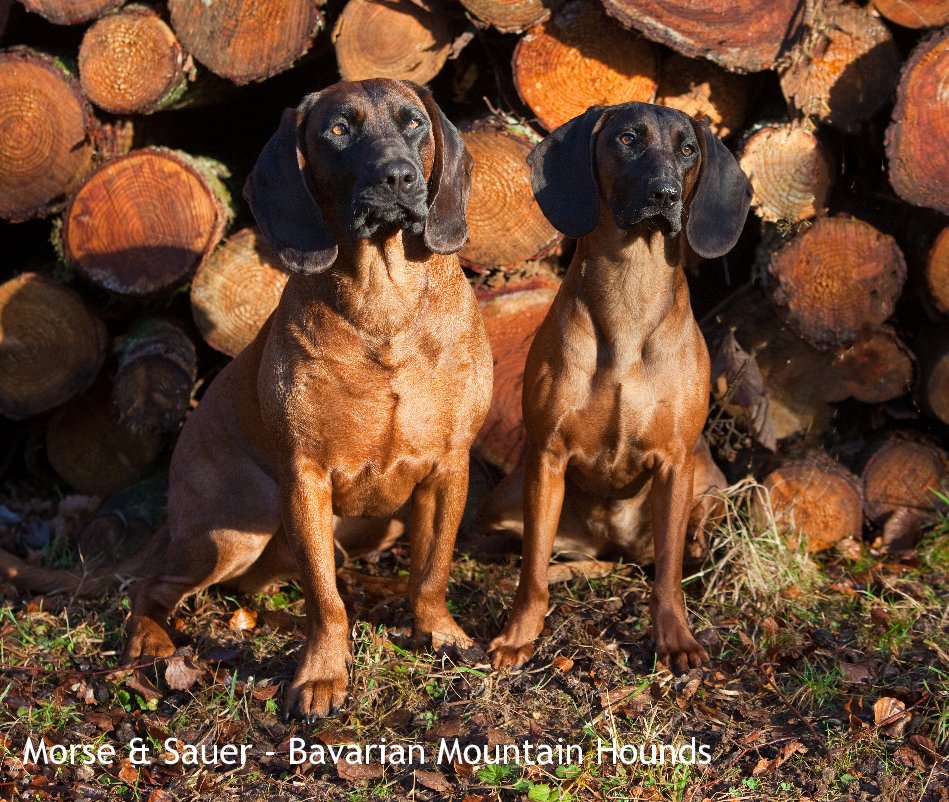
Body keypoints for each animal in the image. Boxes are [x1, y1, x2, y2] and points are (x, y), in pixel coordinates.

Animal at [117, 79, 492, 720]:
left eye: (414, 123)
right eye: (338, 130)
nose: (397, 176)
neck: (384, 305)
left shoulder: (448, 468)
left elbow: (432, 570)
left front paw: (439, 632)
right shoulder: (305, 478)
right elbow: (324, 600)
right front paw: (320, 674)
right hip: (231, 534)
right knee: (155, 585)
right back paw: (150, 639)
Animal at [482, 103, 748, 672]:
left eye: (688, 149)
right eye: (628, 139)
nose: (665, 194)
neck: (629, 295)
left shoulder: (676, 462)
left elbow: (668, 572)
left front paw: (675, 639)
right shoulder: (547, 459)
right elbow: (531, 568)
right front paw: (519, 636)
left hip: (708, 485)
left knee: (687, 543)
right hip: (502, 509)